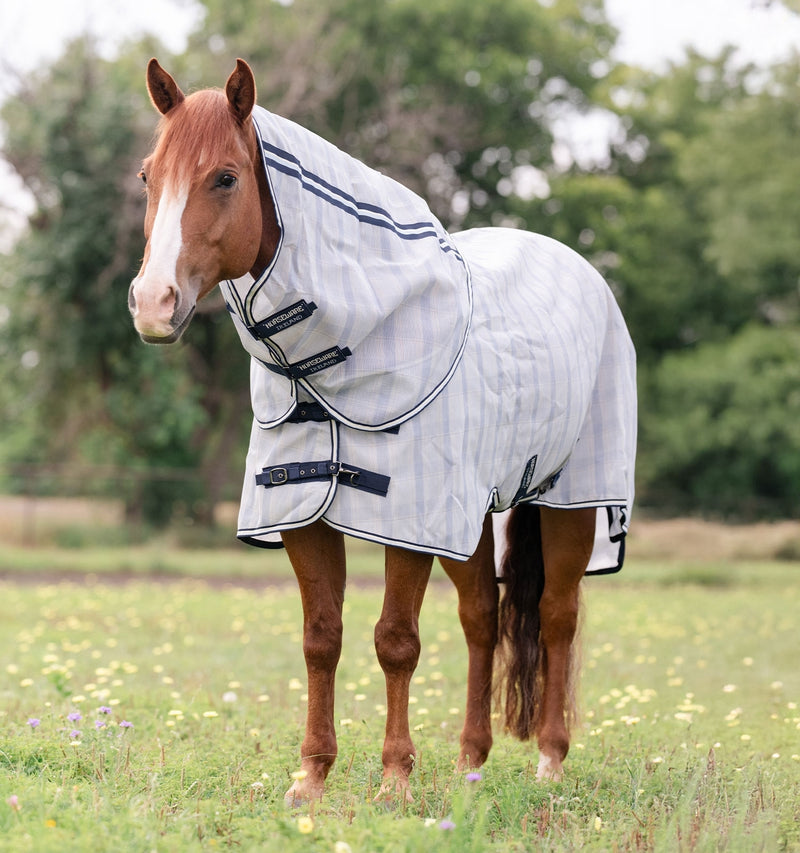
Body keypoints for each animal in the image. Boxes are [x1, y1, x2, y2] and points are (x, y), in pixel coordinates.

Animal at [128, 58, 636, 806]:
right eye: (148, 175)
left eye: (224, 177)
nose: (153, 303)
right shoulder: (303, 511)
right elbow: (321, 637)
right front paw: (311, 776)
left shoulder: (409, 518)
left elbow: (396, 639)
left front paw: (395, 778)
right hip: (469, 518)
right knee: (482, 616)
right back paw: (471, 760)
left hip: (567, 500)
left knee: (556, 614)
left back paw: (549, 760)